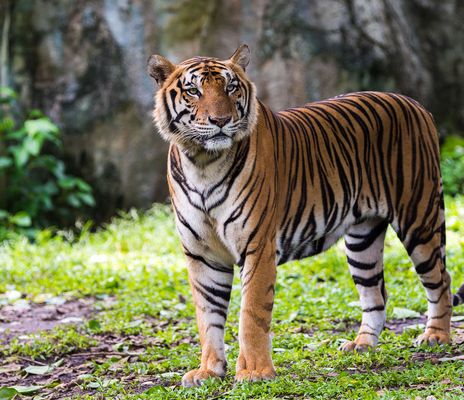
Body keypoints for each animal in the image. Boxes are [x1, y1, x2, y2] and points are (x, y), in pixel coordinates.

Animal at [148, 44, 464, 388]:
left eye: (230, 88)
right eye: (193, 91)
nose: (221, 120)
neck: (203, 162)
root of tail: (414, 103)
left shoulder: (257, 246)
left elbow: (251, 313)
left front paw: (254, 372)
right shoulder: (202, 254)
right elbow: (208, 317)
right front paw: (209, 370)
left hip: (419, 217)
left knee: (441, 279)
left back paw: (436, 336)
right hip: (362, 241)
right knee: (376, 293)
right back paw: (362, 345)